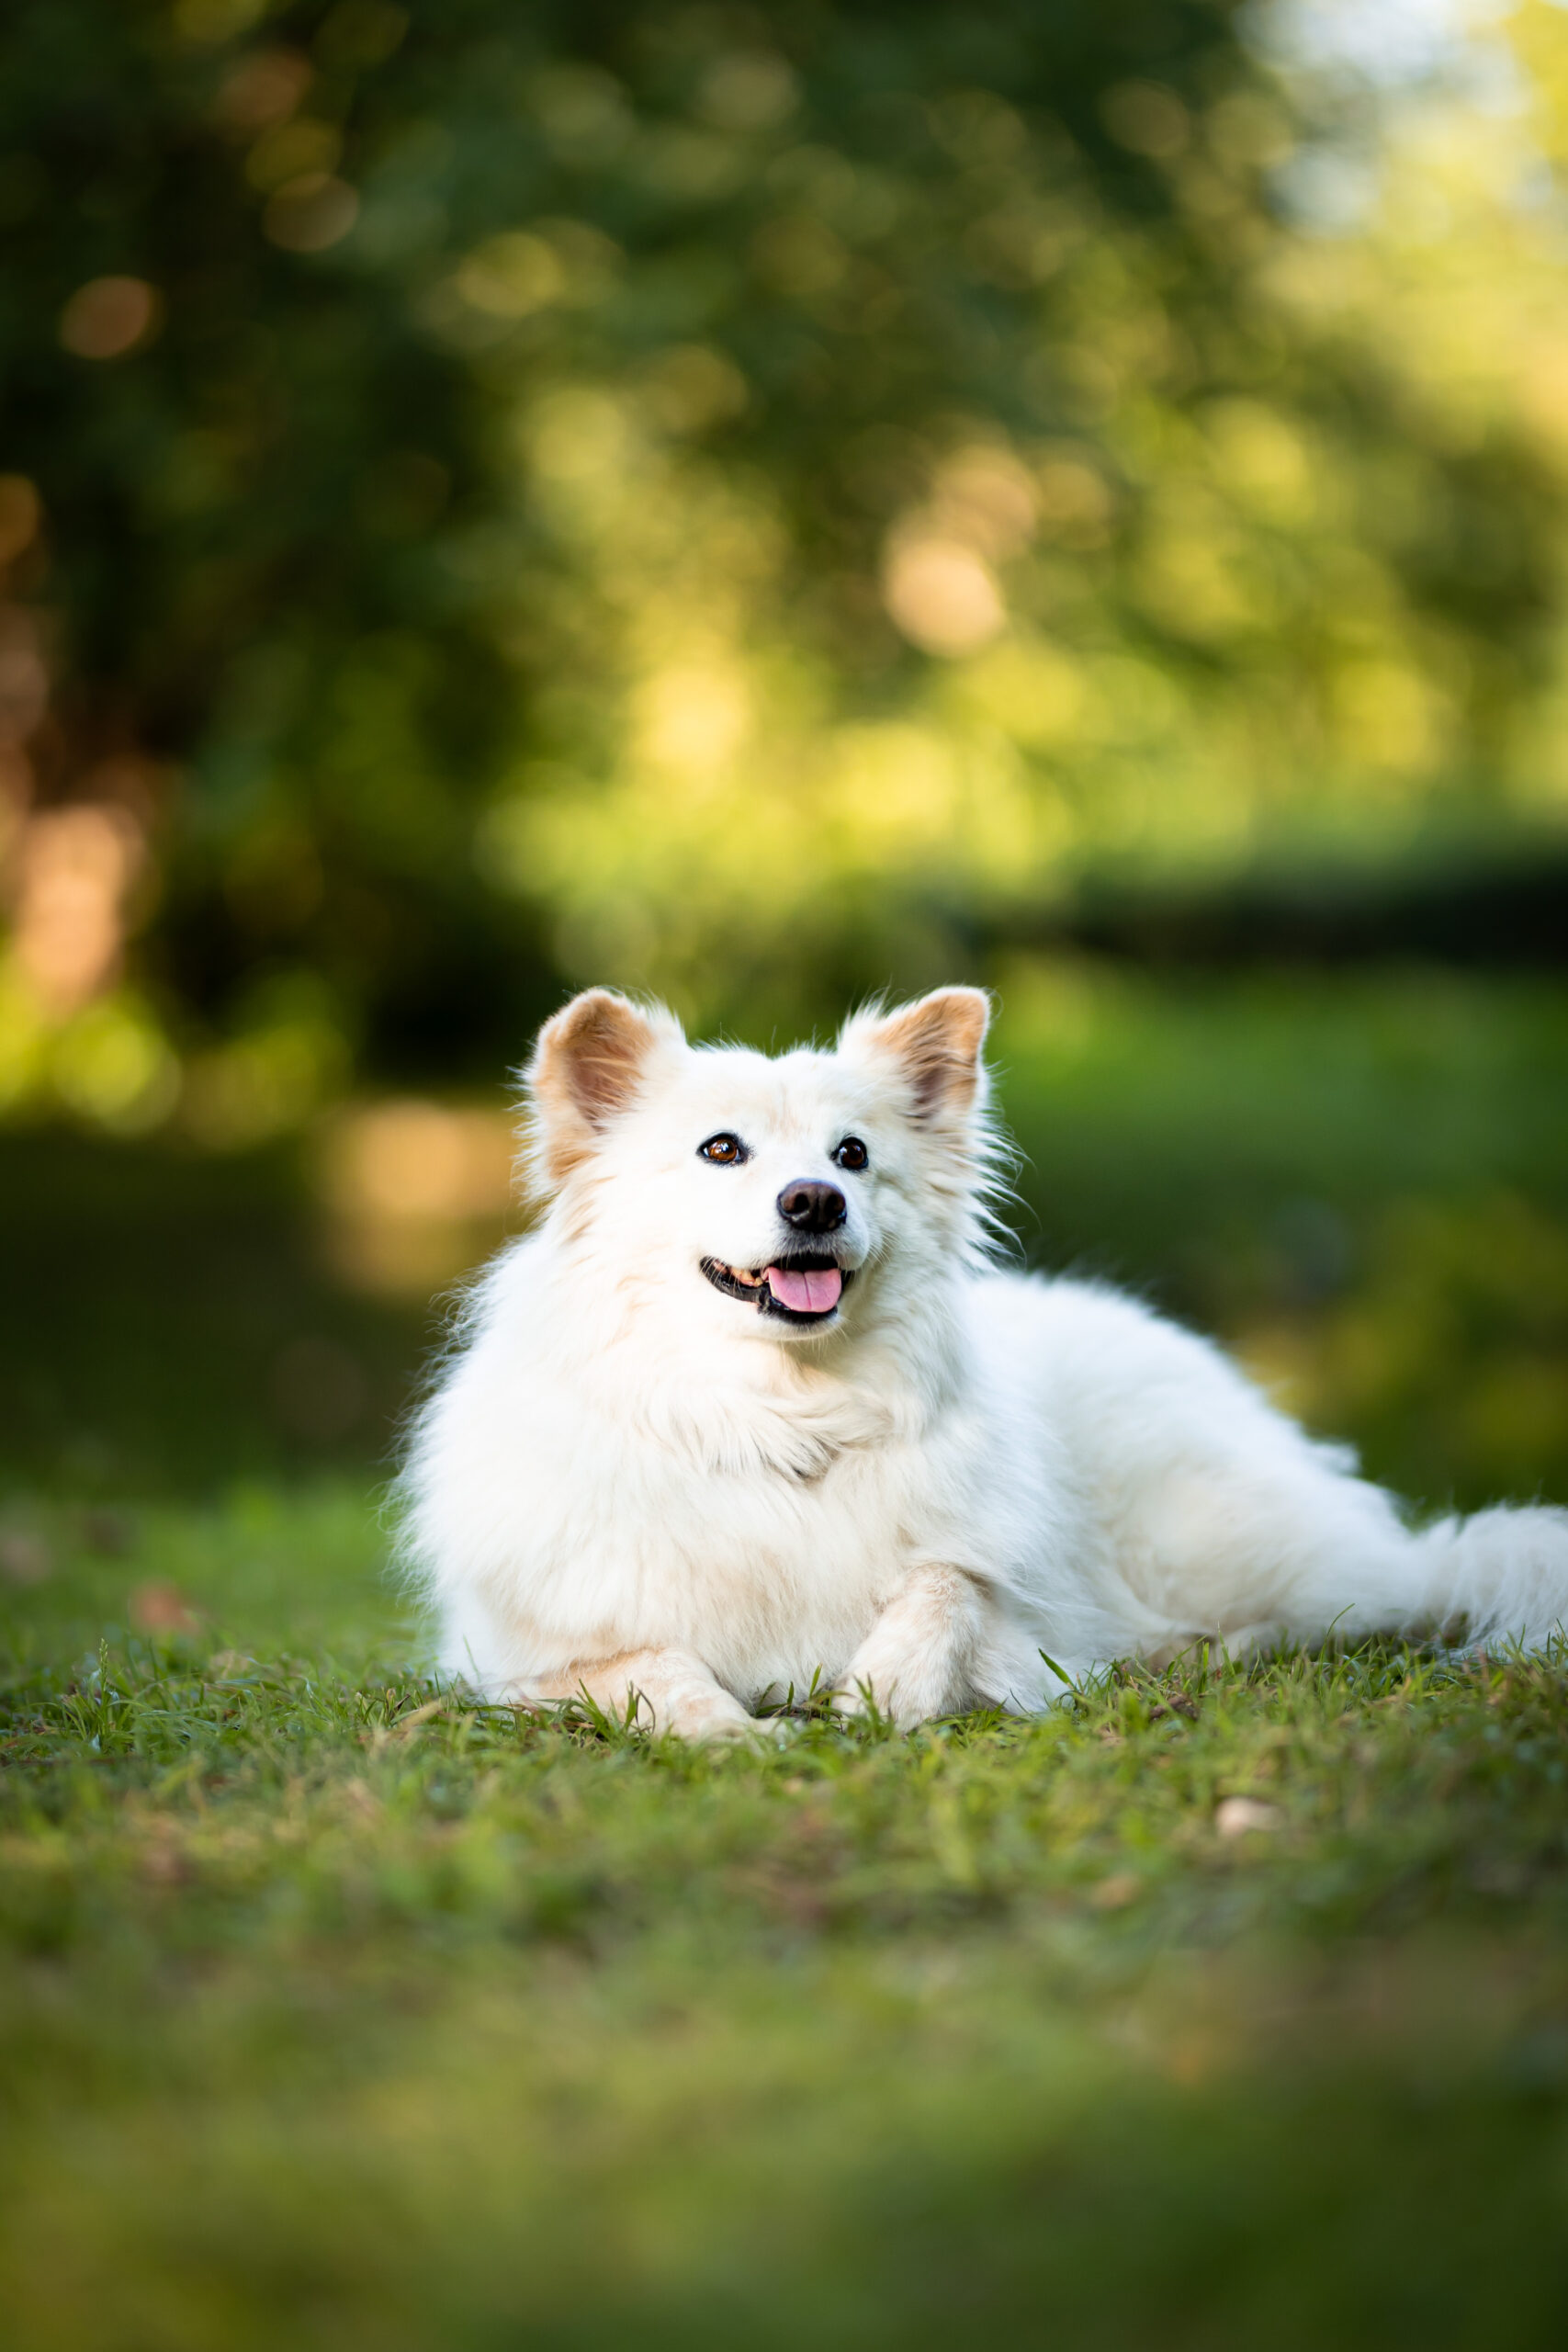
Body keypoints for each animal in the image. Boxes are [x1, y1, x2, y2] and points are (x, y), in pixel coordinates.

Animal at [404, 983, 1568, 1740]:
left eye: (853, 1155)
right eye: (721, 1150)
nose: (815, 1203)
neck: (779, 1423)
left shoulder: (1003, 1605)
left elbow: (948, 1585)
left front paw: (889, 1689)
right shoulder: (522, 1661)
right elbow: (653, 1670)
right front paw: (736, 1730)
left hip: (1212, 1542)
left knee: (1380, 1597)